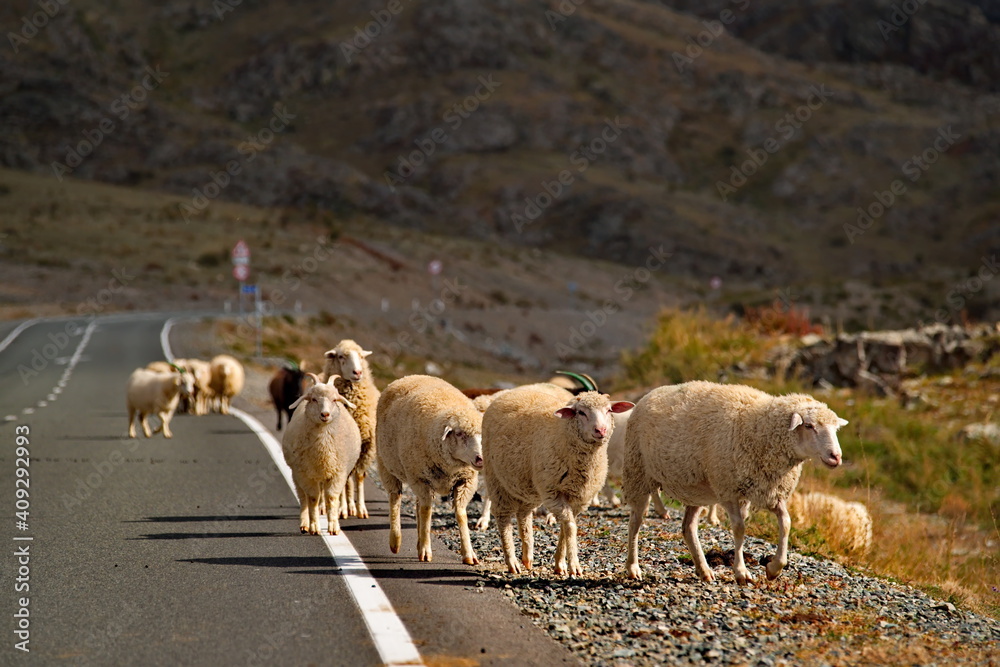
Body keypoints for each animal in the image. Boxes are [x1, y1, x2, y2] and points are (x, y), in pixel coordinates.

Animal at [281, 374, 361, 535]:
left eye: (335, 400)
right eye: (313, 399)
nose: (325, 414)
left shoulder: (338, 473)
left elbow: (331, 497)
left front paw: (334, 527)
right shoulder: (306, 475)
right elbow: (312, 498)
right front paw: (314, 526)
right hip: (297, 474)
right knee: (303, 497)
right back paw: (304, 524)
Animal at [322, 339, 379, 519]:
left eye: (361, 356)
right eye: (341, 356)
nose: (358, 372)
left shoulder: (367, 445)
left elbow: (359, 477)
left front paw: (361, 509)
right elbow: (344, 480)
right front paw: (343, 508)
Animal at [376, 374, 484, 564]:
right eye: (460, 434)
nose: (480, 458)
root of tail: (411, 376)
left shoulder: (465, 481)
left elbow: (461, 514)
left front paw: (469, 553)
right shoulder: (420, 479)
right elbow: (427, 512)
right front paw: (426, 550)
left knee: (418, 504)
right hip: (387, 466)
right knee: (395, 499)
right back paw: (395, 541)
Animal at [483, 387, 634, 575]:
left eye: (608, 410)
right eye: (581, 412)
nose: (601, 430)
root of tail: (509, 392)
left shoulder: (580, 497)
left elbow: (566, 527)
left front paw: (560, 563)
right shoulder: (553, 493)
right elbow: (570, 526)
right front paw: (574, 565)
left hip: (527, 486)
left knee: (523, 514)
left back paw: (527, 556)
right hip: (496, 478)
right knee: (503, 517)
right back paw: (512, 562)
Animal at [623, 381, 847, 584]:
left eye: (835, 429)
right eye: (809, 426)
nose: (836, 456)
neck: (758, 430)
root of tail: (651, 393)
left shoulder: (767, 490)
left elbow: (786, 523)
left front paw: (774, 568)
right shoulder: (728, 490)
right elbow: (739, 528)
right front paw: (741, 572)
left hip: (696, 490)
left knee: (688, 528)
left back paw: (704, 570)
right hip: (638, 472)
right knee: (635, 522)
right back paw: (633, 568)